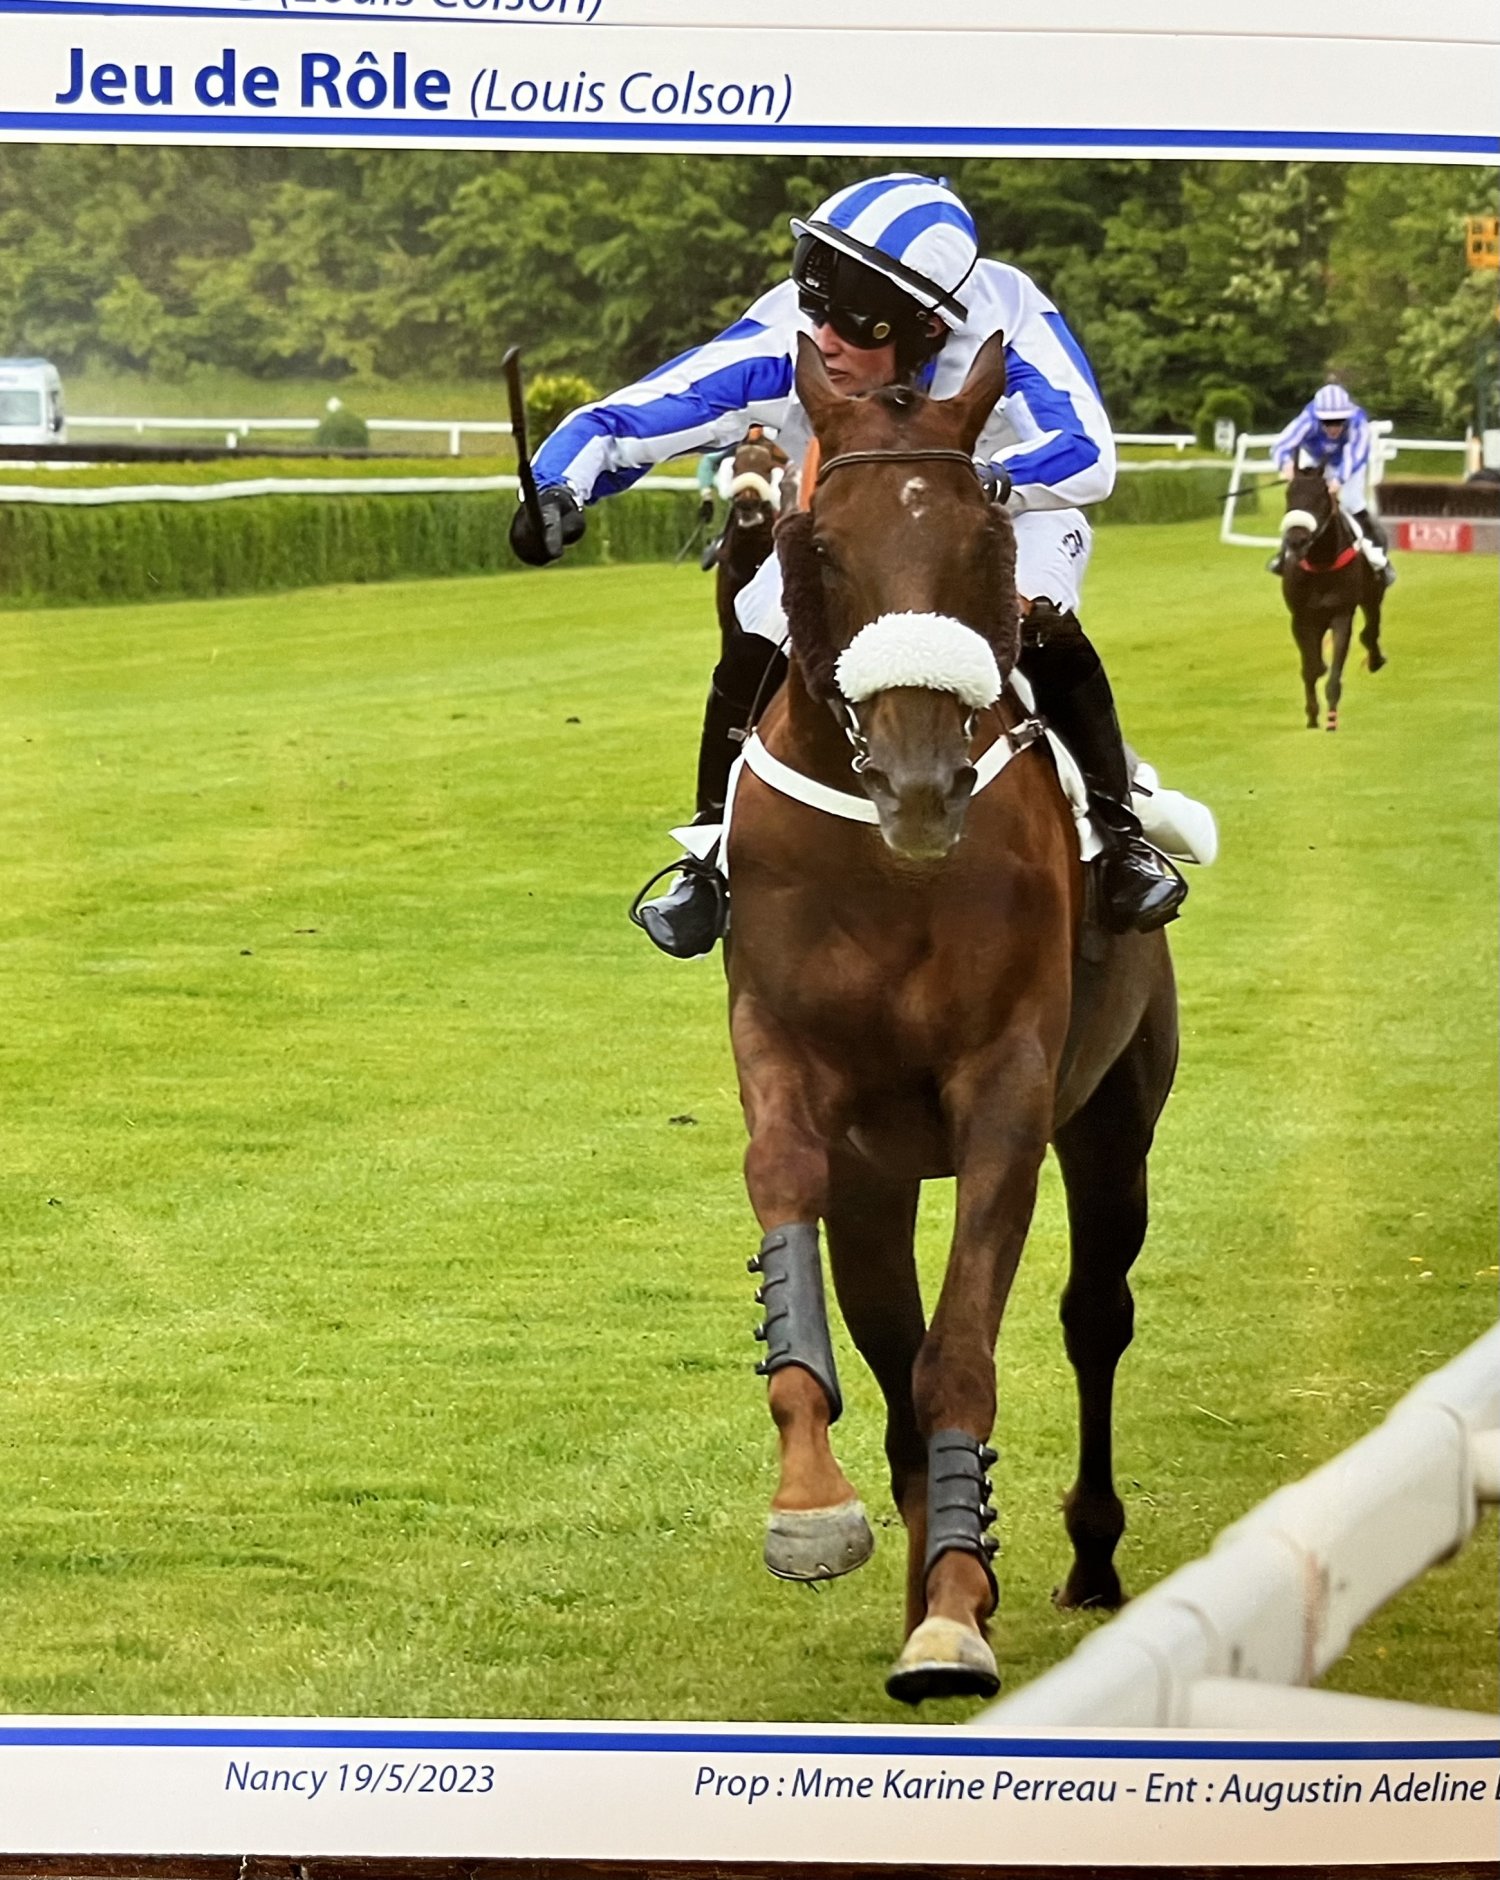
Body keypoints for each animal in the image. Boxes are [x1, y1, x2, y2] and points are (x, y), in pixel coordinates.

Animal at [722, 333, 1179, 1704]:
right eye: (821, 545)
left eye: (984, 537)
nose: (923, 786)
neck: (889, 872)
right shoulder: (793, 1069)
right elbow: (799, 1230)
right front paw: (816, 1507)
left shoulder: (1008, 1089)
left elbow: (964, 1347)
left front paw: (958, 1612)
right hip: (881, 1182)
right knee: (894, 1355)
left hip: (1117, 1114)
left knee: (1095, 1316)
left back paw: (1082, 1556)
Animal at [1280, 467, 1387, 731]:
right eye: (1289, 493)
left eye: (1321, 496)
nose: (1296, 539)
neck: (1321, 564)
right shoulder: (1301, 617)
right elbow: (1310, 667)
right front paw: (1311, 716)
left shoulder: (1341, 614)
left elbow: (1334, 670)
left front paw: (1331, 718)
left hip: (1372, 594)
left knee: (1370, 630)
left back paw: (1375, 659)